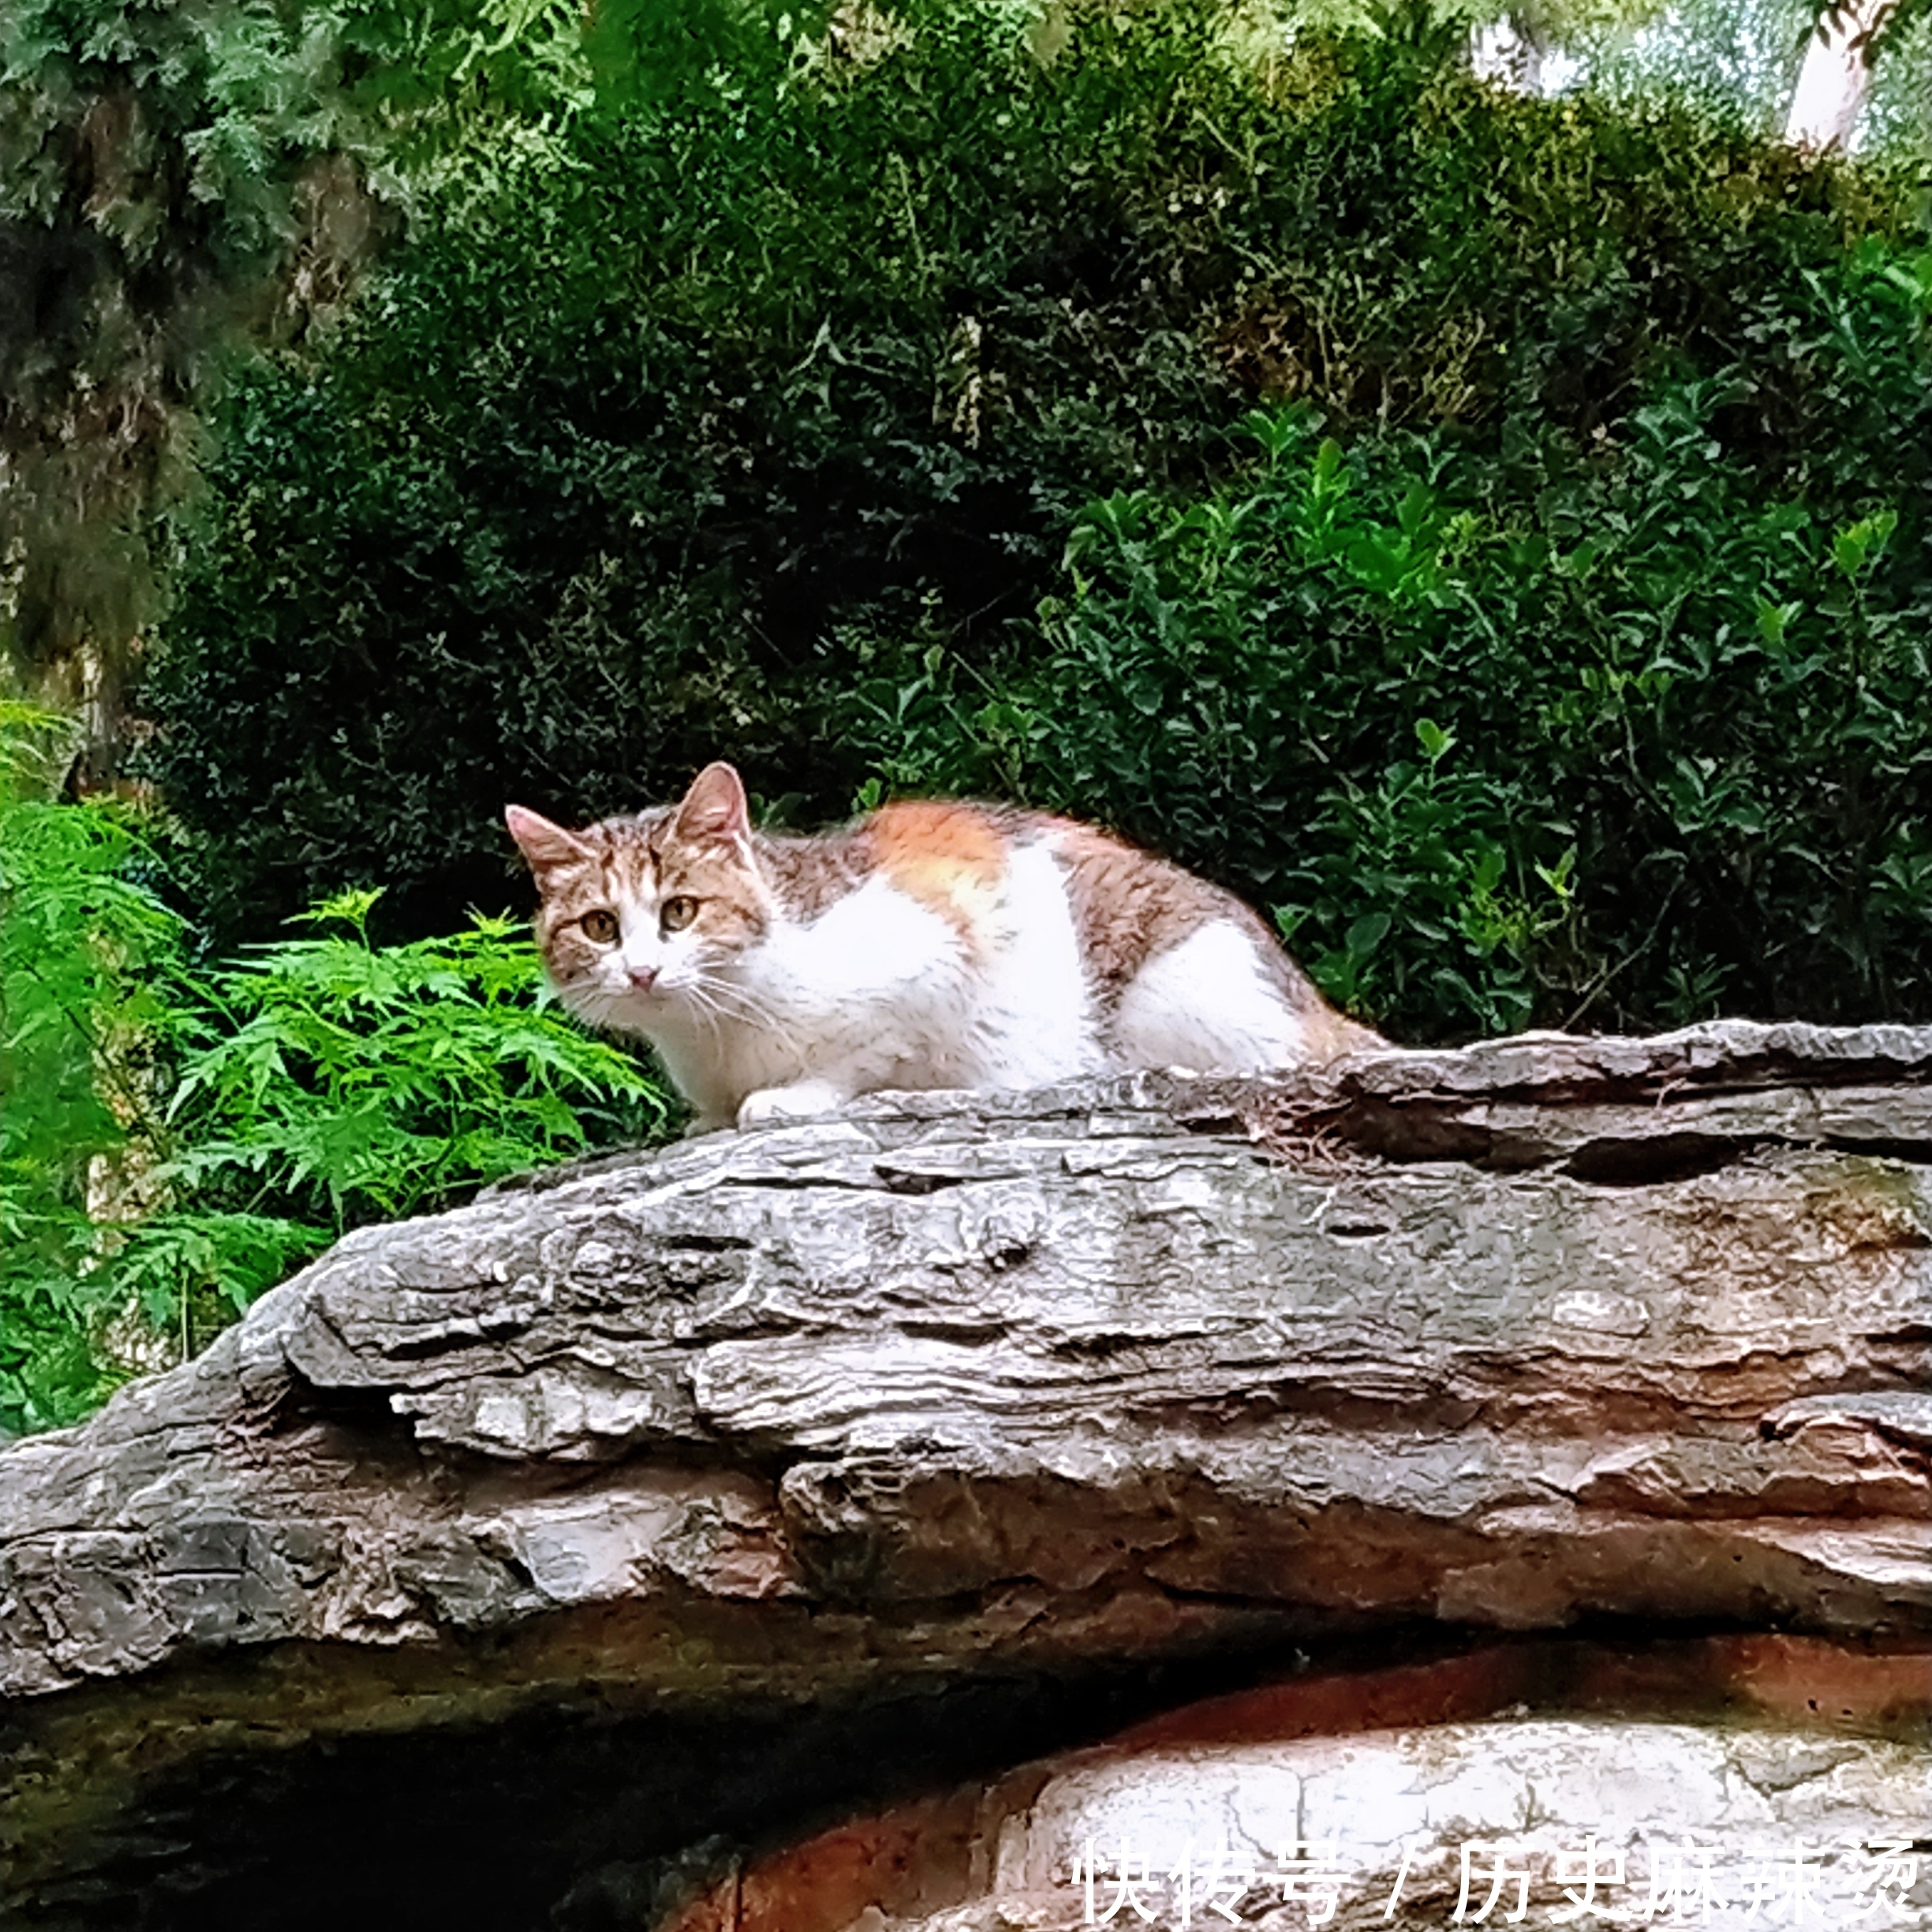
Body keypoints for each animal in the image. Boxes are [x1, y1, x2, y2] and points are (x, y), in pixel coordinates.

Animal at [502, 760, 1375, 1128]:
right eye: (600, 926)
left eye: (679, 911)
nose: (643, 971)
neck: (711, 1033)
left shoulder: (937, 953)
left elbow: (863, 1053)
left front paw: (787, 1097)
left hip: (1178, 985)